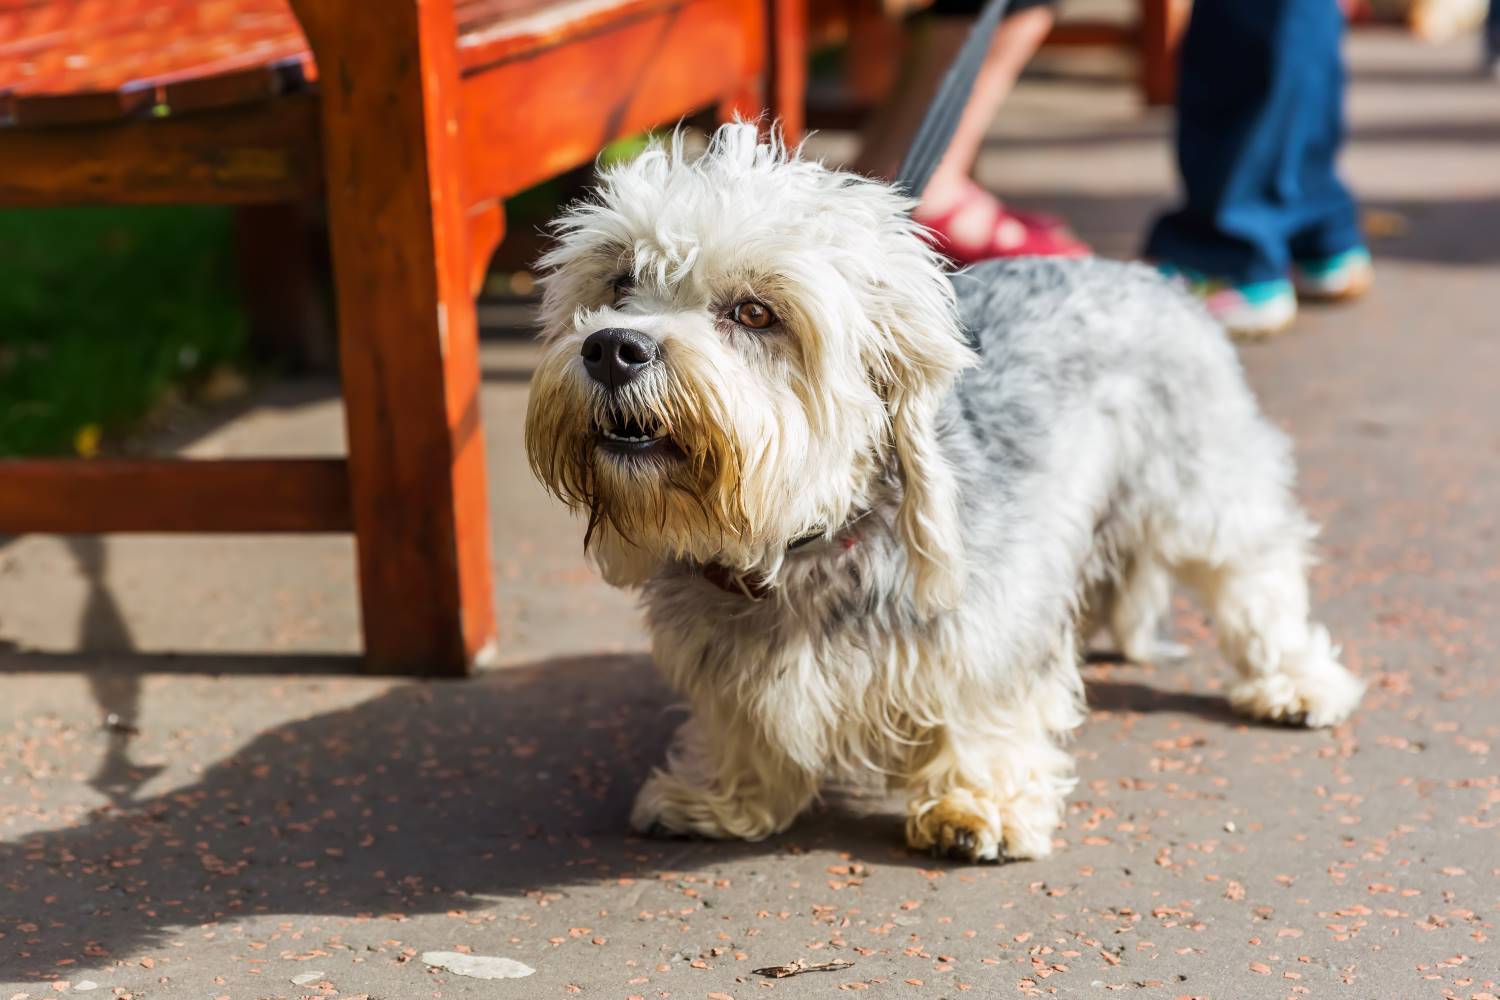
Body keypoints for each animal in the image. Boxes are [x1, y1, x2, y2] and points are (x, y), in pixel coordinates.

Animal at [522, 122, 1368, 863]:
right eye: (620, 282)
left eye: (755, 313)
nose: (613, 347)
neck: (806, 547)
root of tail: (1136, 273)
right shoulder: (724, 657)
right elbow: (741, 720)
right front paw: (722, 795)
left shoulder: (993, 627)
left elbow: (983, 709)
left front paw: (975, 805)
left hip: (1202, 489)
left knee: (1256, 576)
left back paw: (1293, 681)